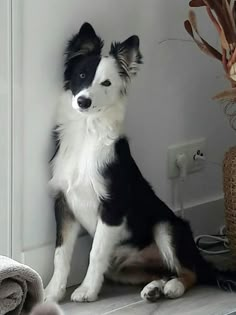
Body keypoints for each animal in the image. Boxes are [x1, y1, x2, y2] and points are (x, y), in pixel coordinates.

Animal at [44, 22, 236, 304]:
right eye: (82, 76)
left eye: (106, 83)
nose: (83, 101)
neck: (87, 131)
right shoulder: (64, 204)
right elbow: (60, 254)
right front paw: (52, 292)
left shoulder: (112, 207)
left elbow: (95, 253)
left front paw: (86, 290)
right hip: (125, 268)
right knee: (165, 271)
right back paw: (155, 288)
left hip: (167, 227)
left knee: (191, 272)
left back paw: (173, 287)